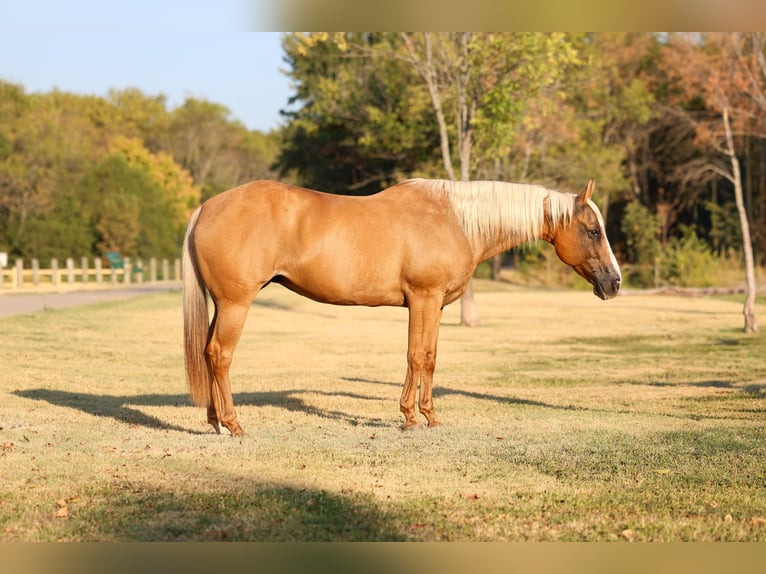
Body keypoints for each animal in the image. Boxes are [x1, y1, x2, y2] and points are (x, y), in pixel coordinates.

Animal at [182, 178, 621, 436]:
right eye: (592, 231)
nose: (614, 283)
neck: (455, 220)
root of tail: (205, 207)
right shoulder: (423, 299)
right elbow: (417, 356)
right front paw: (413, 417)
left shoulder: (435, 305)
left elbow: (428, 356)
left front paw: (426, 415)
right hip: (236, 304)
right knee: (220, 355)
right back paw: (233, 424)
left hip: (222, 305)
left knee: (207, 352)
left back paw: (213, 421)